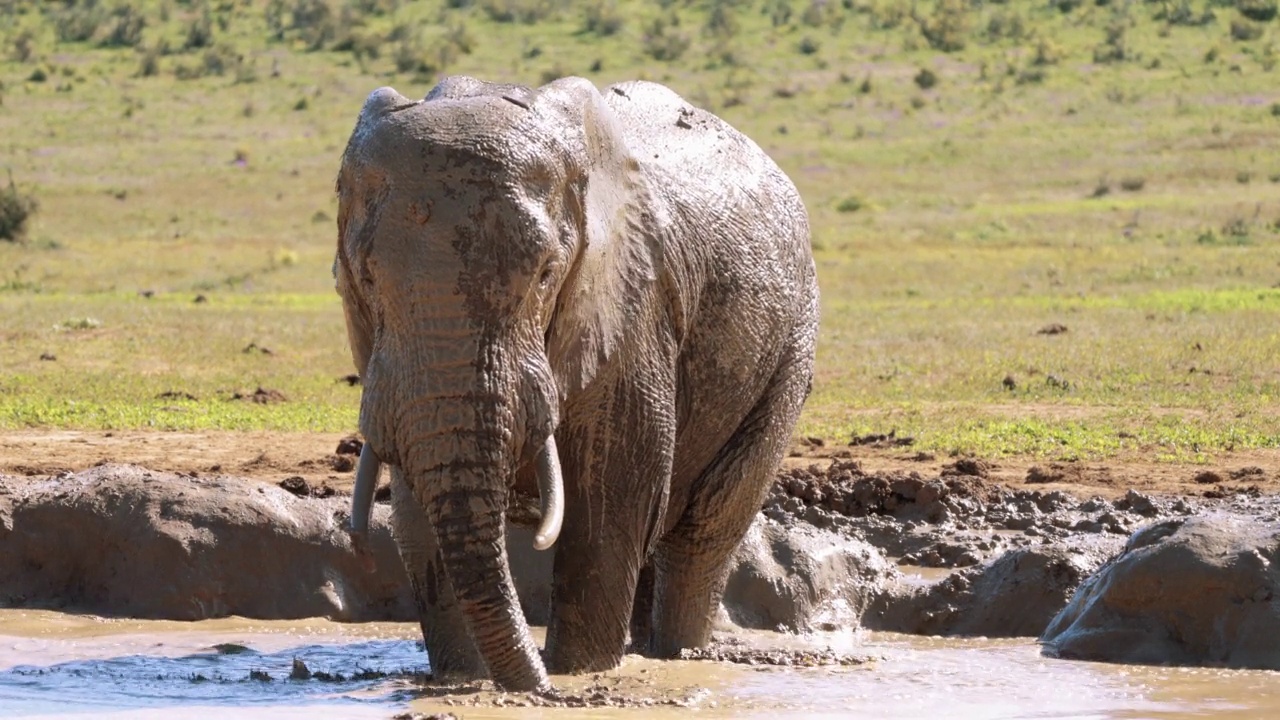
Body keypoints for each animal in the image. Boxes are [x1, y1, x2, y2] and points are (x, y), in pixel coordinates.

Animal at [335, 73, 819, 691]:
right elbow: (420, 514)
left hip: (791, 346)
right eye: (366, 277)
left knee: (704, 530)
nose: (538, 685)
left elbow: (610, 502)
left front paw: (574, 677)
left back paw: (676, 655)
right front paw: (463, 684)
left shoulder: (633, 303)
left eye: (546, 275)